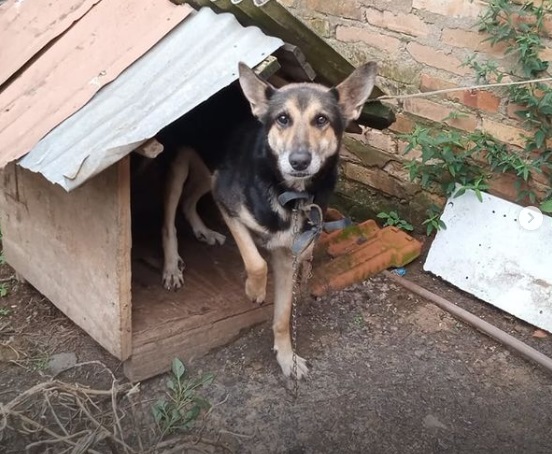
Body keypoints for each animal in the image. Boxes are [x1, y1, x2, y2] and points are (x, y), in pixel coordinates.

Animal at [211, 62, 380, 378]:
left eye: (321, 119)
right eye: (283, 119)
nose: (299, 161)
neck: (291, 195)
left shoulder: (287, 254)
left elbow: (282, 316)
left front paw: (286, 358)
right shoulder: (225, 202)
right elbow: (256, 262)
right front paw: (254, 291)